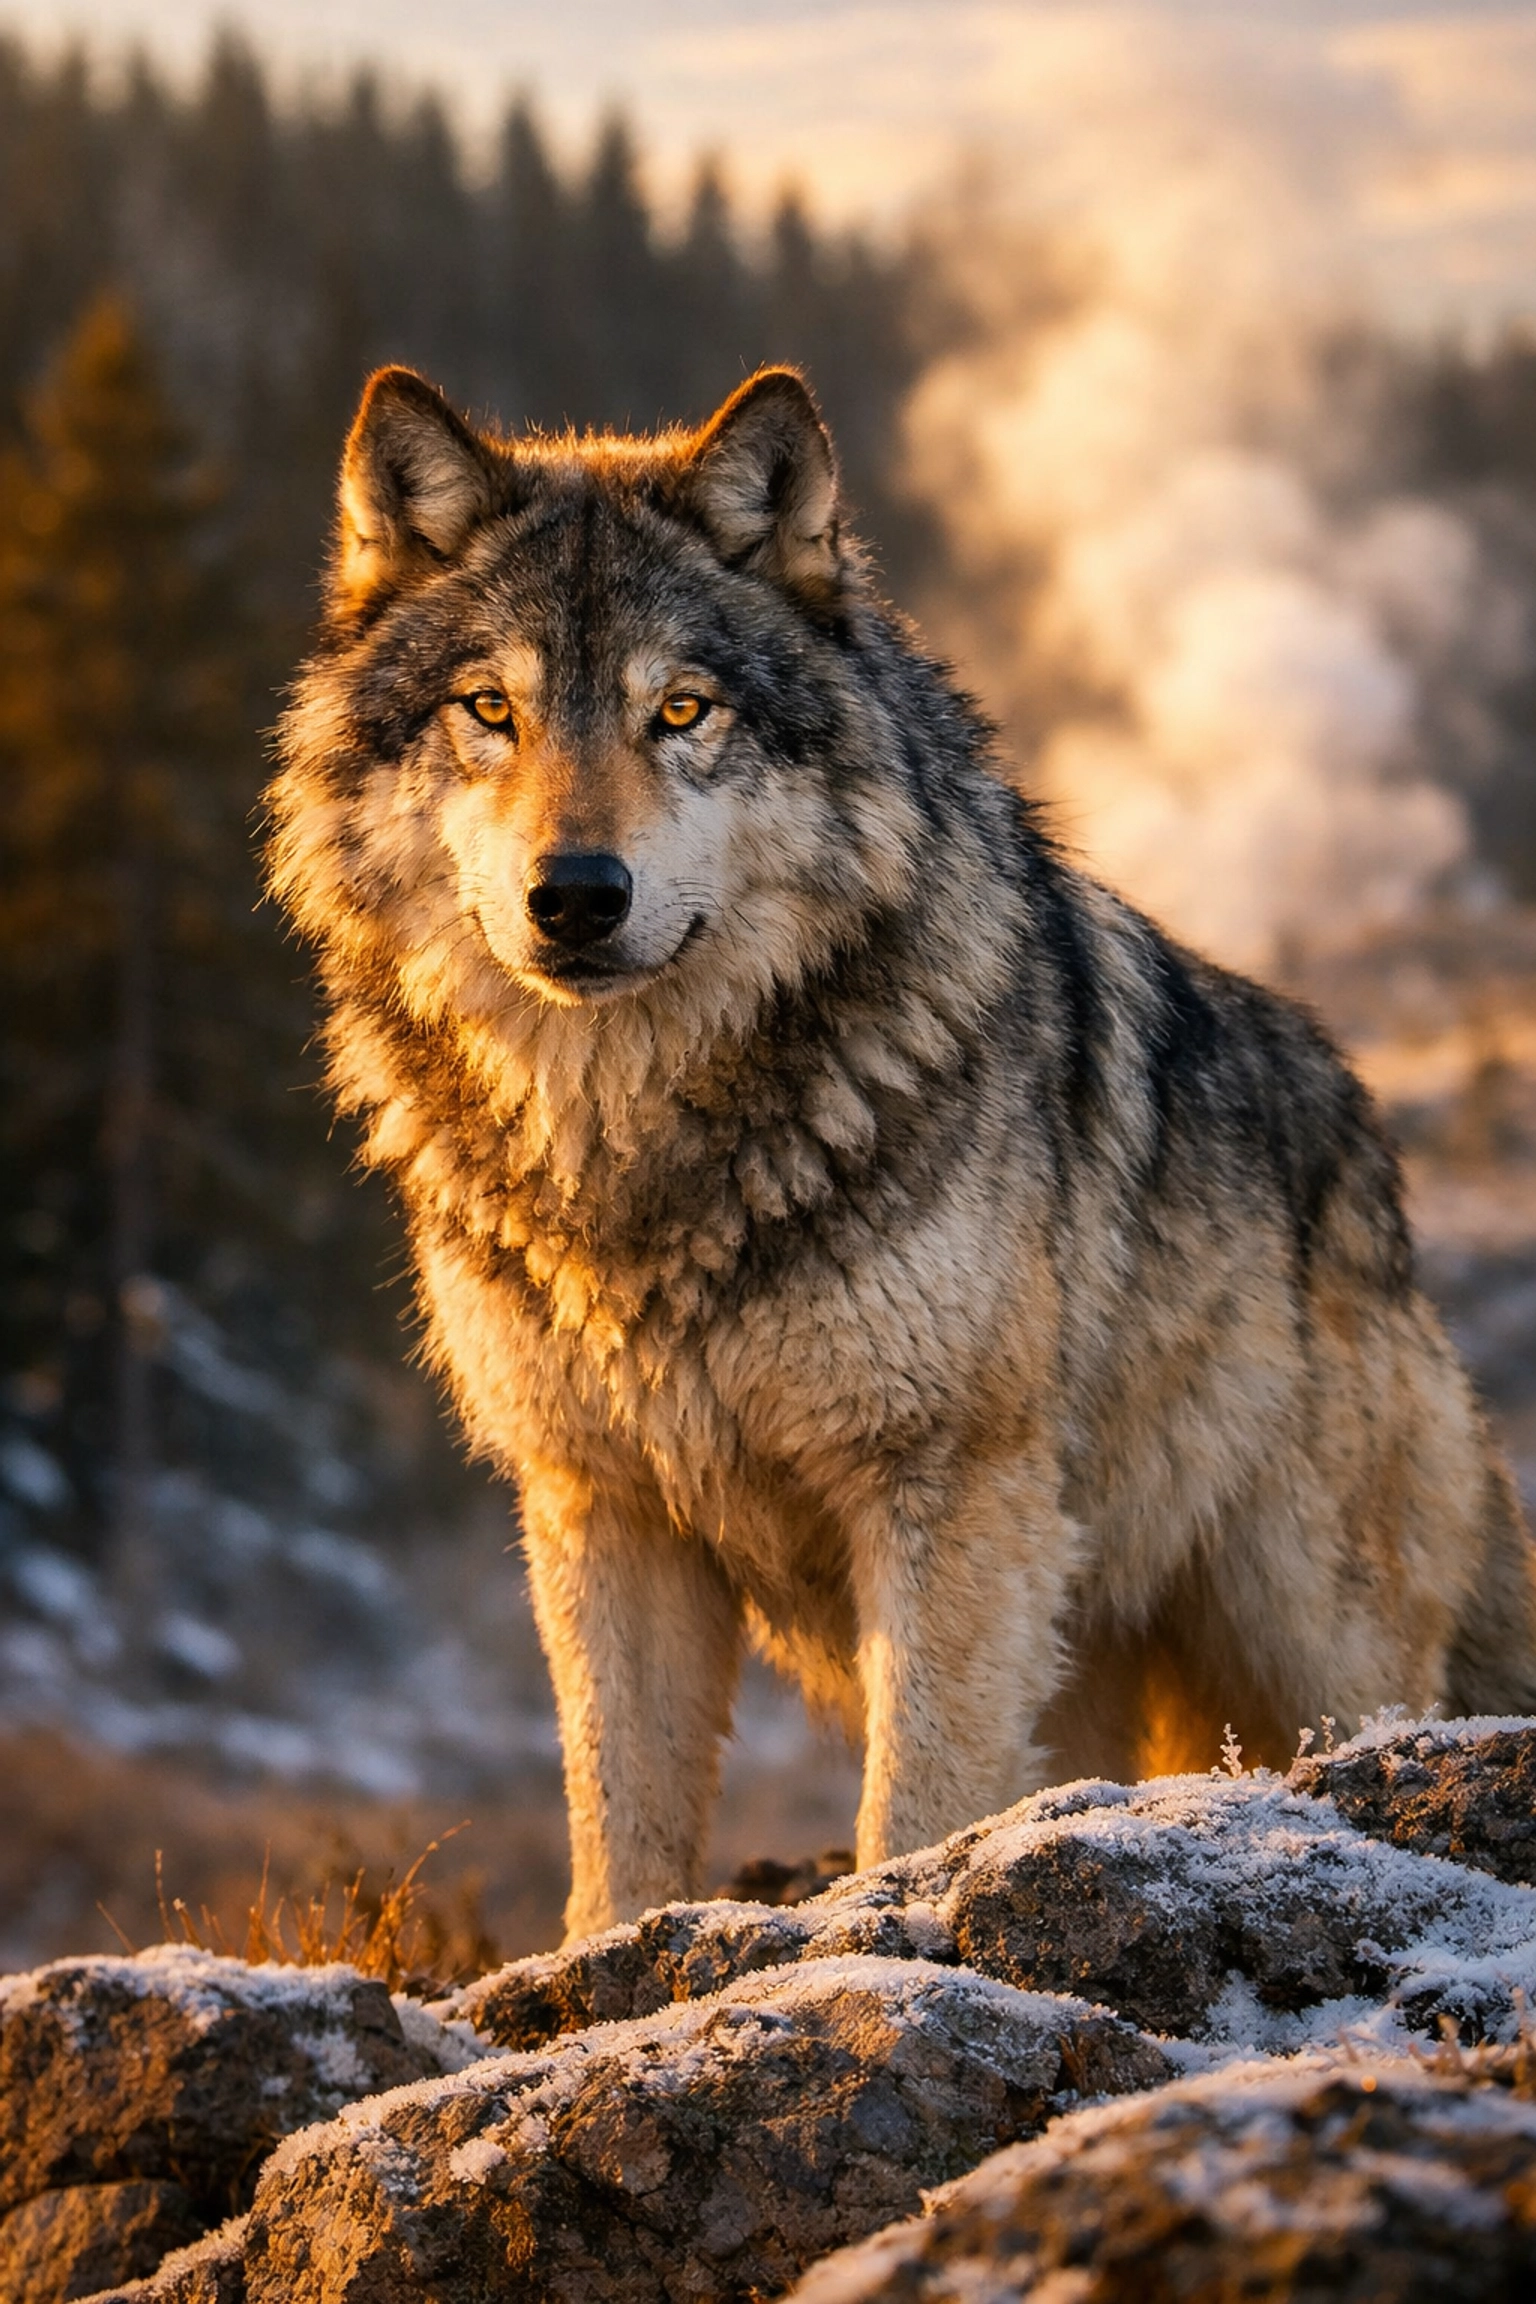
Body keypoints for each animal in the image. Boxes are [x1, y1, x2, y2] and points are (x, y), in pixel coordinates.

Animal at [268, 362, 1536, 1940]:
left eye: (681, 709)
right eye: (489, 708)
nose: (575, 895)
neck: (636, 1143)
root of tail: (1377, 1157)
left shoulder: (945, 1487)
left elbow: (916, 1805)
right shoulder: (600, 1510)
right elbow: (620, 1831)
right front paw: (614, 1956)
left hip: (1306, 1633)